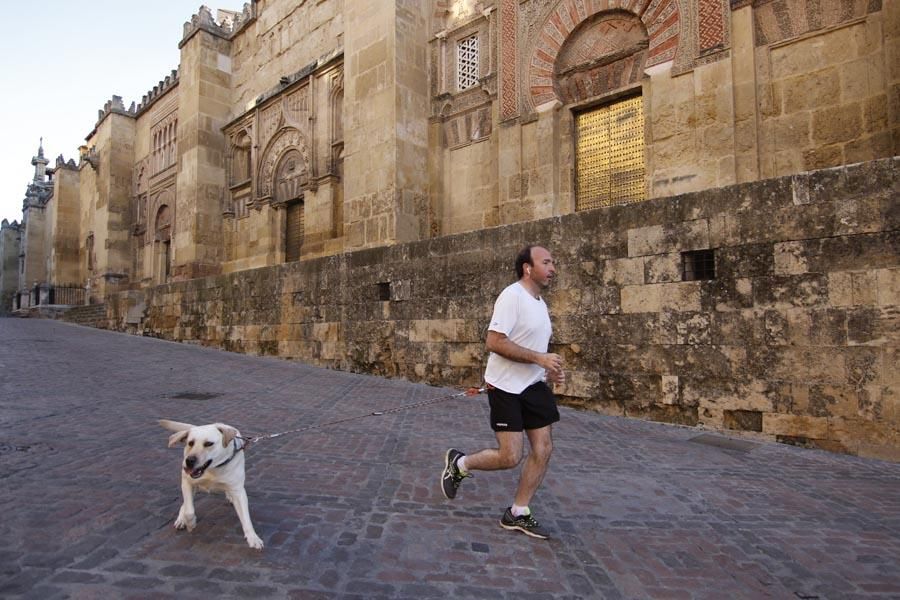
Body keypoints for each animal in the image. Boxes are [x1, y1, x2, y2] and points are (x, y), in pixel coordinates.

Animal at [160, 420, 264, 552]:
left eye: (209, 444)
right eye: (190, 443)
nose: (189, 461)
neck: (212, 469)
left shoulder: (238, 491)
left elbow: (246, 518)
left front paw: (253, 538)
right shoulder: (187, 483)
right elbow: (189, 510)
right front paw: (190, 523)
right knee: (186, 503)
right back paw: (181, 519)